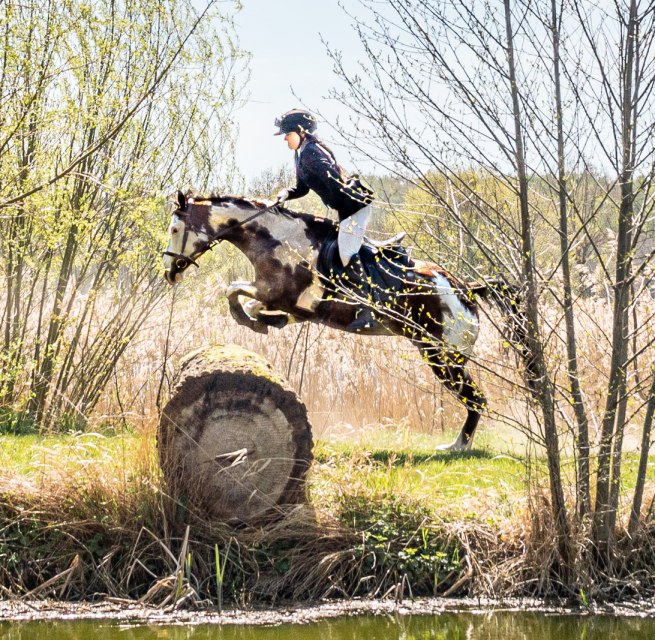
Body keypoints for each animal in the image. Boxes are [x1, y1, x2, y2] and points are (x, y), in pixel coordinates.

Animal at [162, 191, 534, 451]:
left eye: (176, 228)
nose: (169, 272)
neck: (276, 240)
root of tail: (466, 289)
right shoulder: (285, 300)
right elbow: (249, 300)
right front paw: (266, 320)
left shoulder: (281, 292)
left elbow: (233, 291)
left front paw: (249, 319)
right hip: (441, 354)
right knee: (475, 399)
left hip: (442, 356)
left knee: (476, 400)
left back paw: (457, 446)